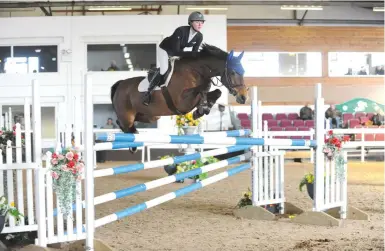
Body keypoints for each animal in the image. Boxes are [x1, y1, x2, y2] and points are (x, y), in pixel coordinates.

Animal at [108, 44, 248, 152]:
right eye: (233, 72)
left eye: (243, 72)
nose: (243, 97)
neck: (195, 71)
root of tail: (120, 84)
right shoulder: (182, 102)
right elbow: (202, 89)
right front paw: (201, 109)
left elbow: (216, 92)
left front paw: (203, 109)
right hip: (127, 115)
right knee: (123, 124)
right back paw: (132, 145)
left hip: (150, 116)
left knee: (128, 125)